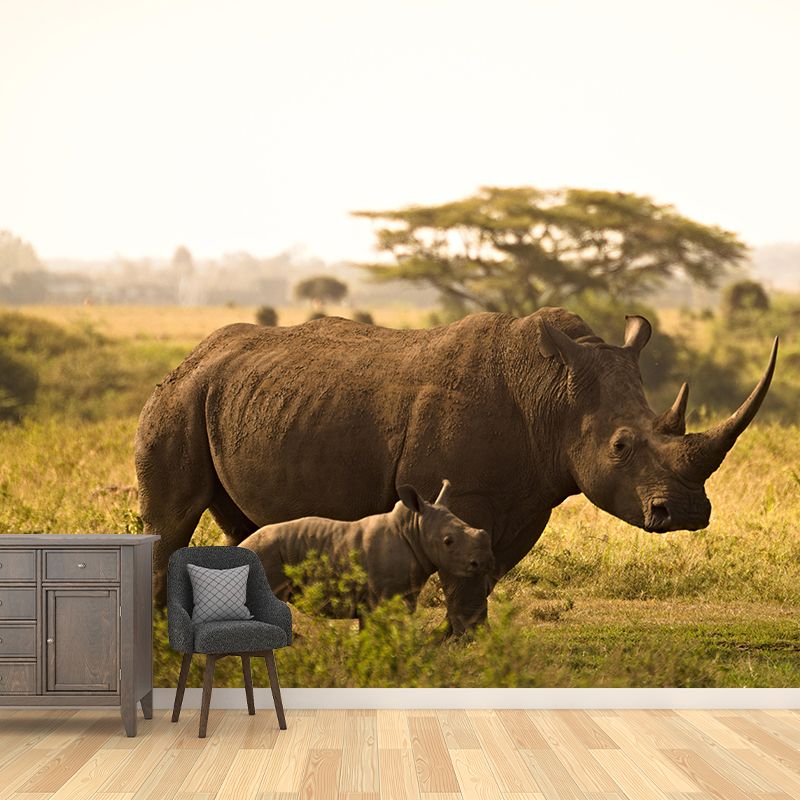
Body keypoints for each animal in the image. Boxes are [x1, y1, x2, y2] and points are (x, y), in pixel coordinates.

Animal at [238, 479, 493, 621]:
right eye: (448, 541)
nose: (483, 562)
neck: (413, 529)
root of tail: (242, 546)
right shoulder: (380, 598)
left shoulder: (403, 596)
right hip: (266, 554)